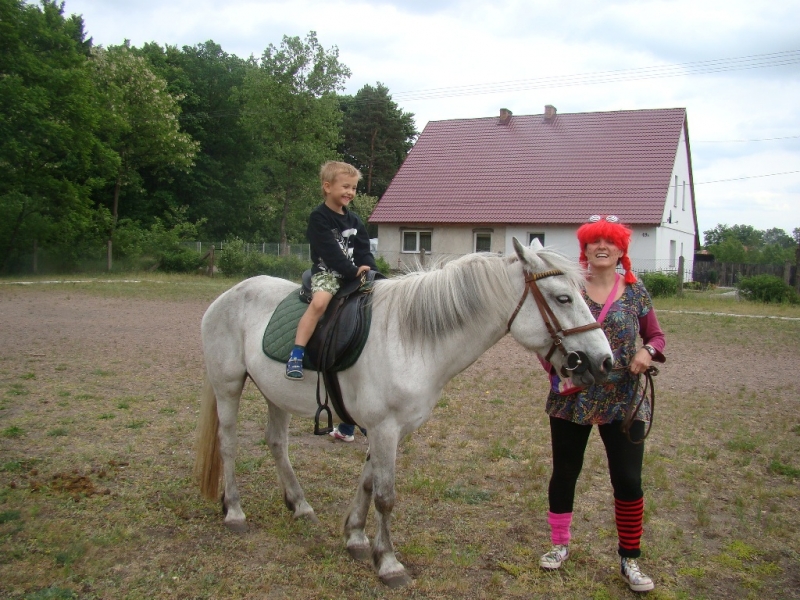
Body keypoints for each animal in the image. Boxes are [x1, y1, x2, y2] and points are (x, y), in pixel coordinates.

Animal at [194, 237, 612, 588]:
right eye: (562, 298)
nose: (603, 361)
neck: (412, 339)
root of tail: (228, 295)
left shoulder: (388, 429)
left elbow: (367, 483)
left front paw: (355, 537)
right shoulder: (384, 427)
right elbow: (385, 496)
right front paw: (388, 563)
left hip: (274, 394)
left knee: (277, 444)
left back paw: (300, 505)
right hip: (228, 385)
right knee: (228, 443)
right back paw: (234, 511)